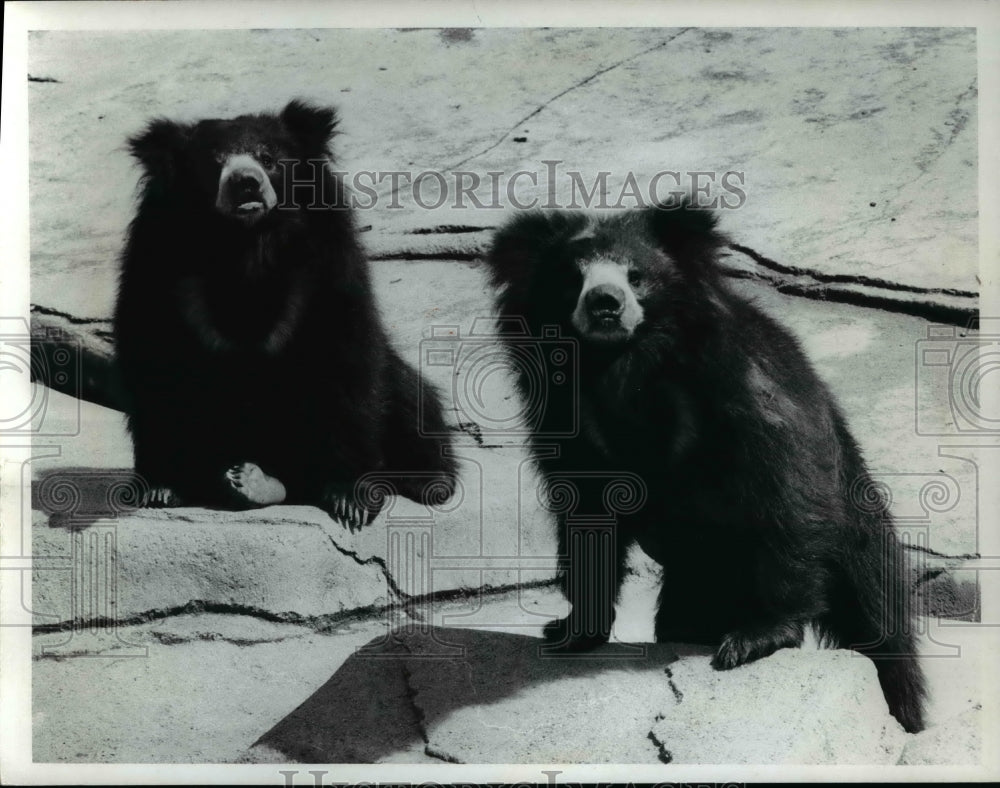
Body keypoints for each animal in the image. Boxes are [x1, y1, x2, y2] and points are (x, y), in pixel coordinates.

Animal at [116, 100, 458, 528]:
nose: (246, 183)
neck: (246, 242)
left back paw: (429, 480)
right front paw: (161, 487)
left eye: (268, 159)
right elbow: (155, 362)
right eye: (214, 162)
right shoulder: (159, 267)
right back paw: (250, 482)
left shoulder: (325, 265)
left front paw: (351, 500)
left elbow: (346, 359)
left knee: (411, 397)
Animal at [488, 202, 924, 732]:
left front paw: (757, 636)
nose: (605, 304)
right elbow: (585, 508)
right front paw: (570, 630)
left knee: (881, 620)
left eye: (636, 275)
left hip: (854, 526)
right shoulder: (566, 408)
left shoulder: (738, 385)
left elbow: (784, 489)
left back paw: (905, 713)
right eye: (573, 278)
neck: (623, 360)